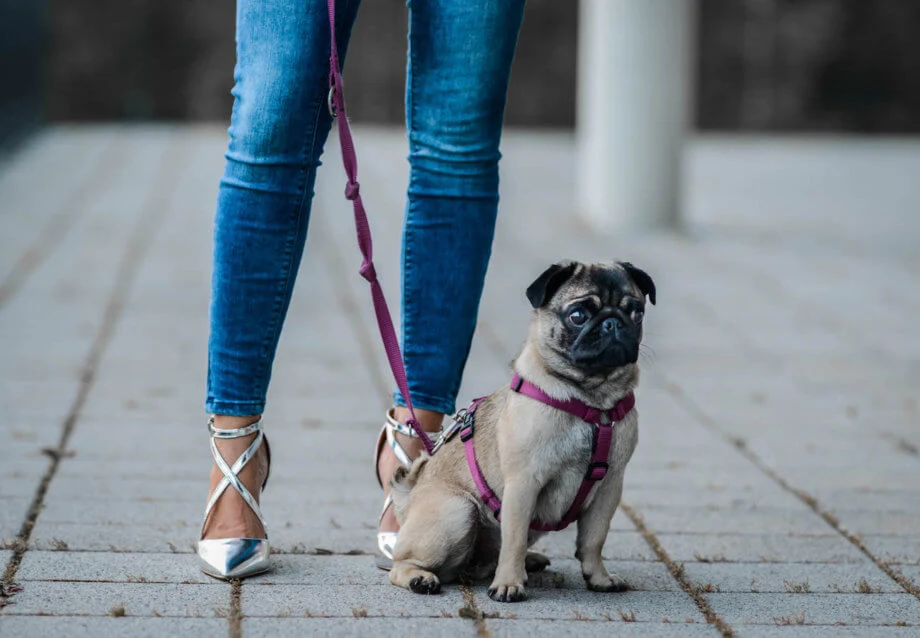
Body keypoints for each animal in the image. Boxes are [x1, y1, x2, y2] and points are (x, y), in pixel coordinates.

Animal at [388, 262, 656, 604]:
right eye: (578, 315)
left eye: (636, 312)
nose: (613, 323)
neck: (591, 401)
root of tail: (407, 500)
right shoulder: (523, 483)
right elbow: (513, 539)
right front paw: (508, 585)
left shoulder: (609, 488)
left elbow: (594, 539)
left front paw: (599, 578)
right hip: (459, 510)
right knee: (402, 564)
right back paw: (421, 578)